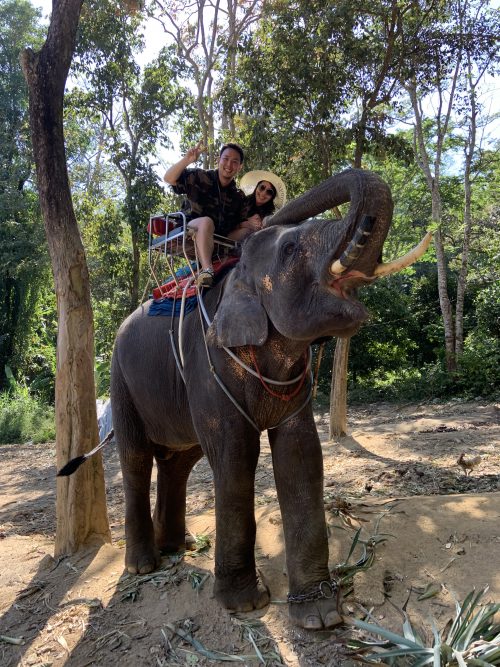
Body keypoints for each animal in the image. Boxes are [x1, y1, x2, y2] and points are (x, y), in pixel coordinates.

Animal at [110, 168, 430, 632]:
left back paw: (177, 547)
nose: (366, 223)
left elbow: (300, 454)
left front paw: (319, 616)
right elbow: (235, 456)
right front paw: (244, 605)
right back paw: (144, 566)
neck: (235, 275)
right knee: (136, 459)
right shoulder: (209, 364)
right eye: (292, 248)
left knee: (179, 461)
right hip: (120, 379)